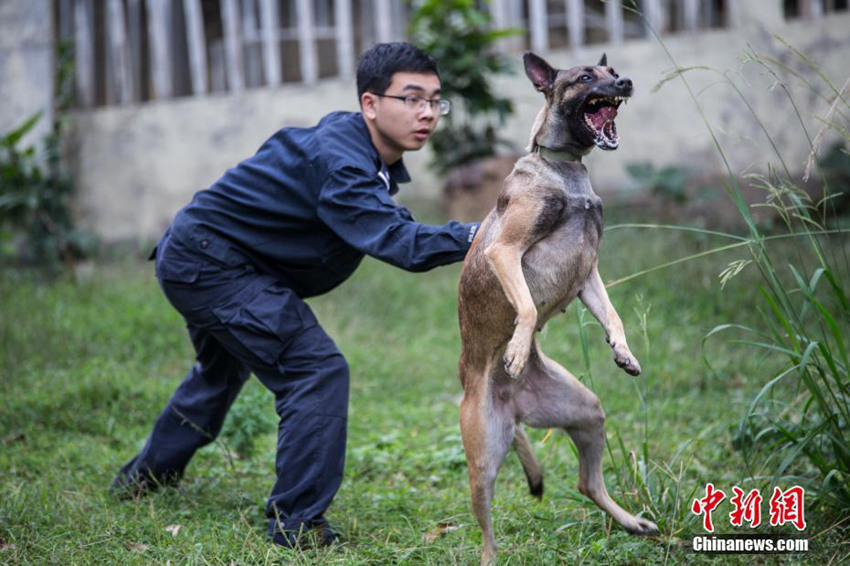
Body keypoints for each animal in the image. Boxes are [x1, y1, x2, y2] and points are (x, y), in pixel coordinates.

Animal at [458, 51, 656, 564]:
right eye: (585, 77)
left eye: (612, 73)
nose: (626, 82)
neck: (564, 171)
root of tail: (514, 407)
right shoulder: (504, 251)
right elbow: (527, 308)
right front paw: (516, 348)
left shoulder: (588, 274)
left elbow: (613, 315)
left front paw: (623, 351)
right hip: (484, 458)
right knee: (485, 530)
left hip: (586, 413)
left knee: (589, 483)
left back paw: (632, 521)